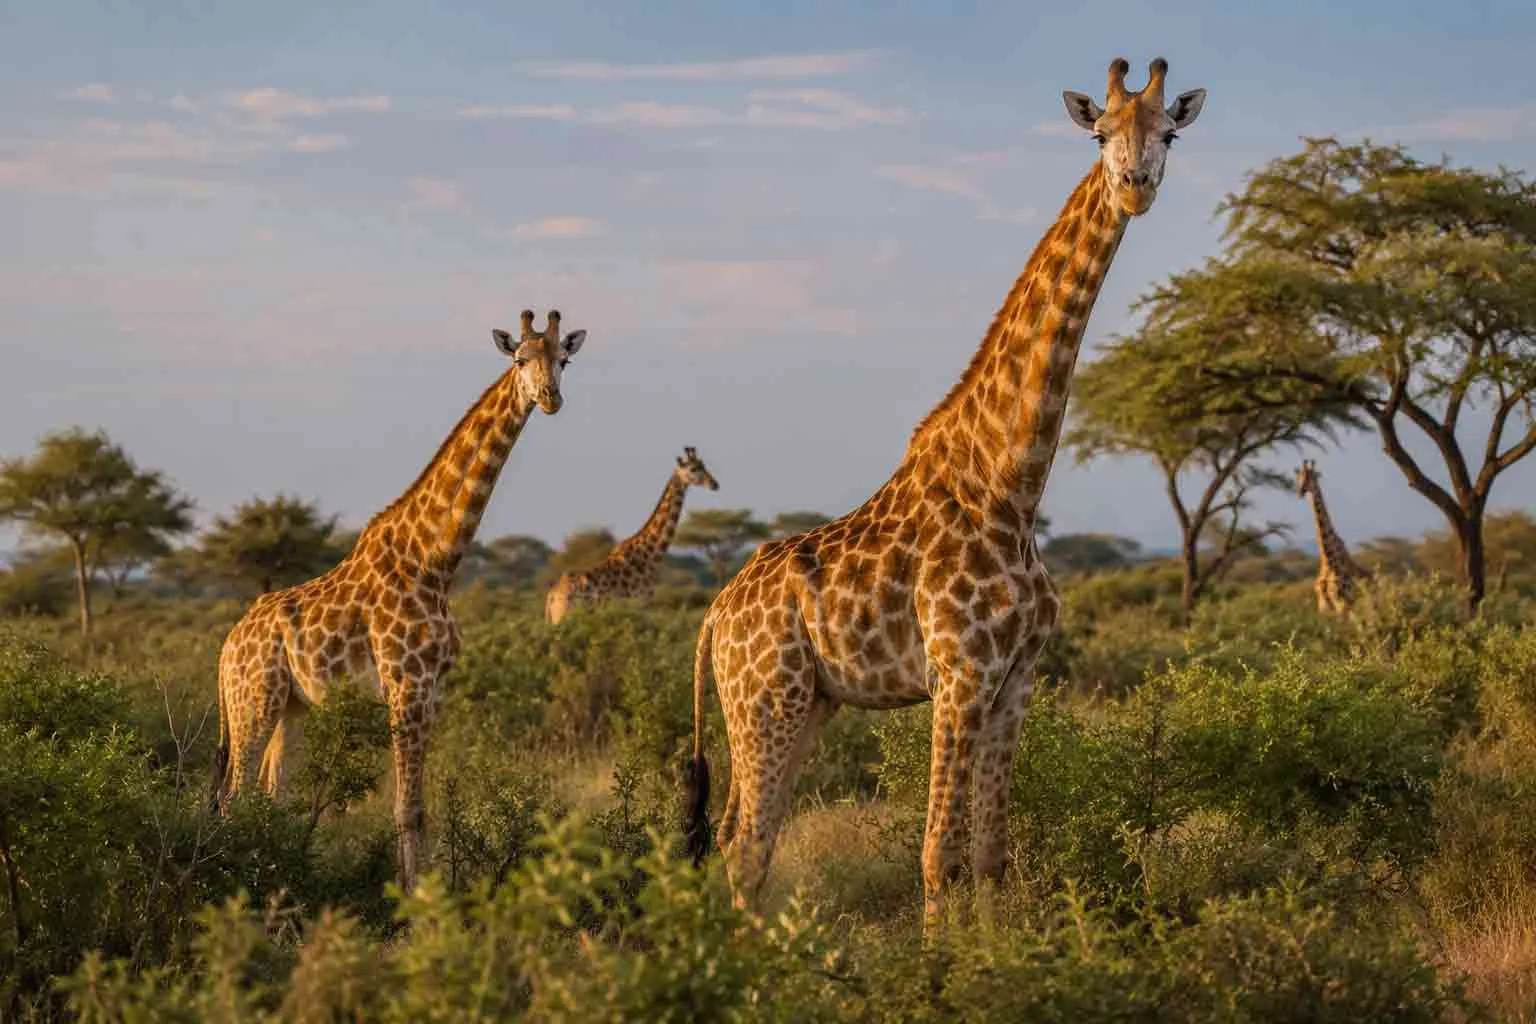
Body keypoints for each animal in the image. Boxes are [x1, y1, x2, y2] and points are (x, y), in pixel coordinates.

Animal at [212, 310, 587, 891]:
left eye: (564, 360)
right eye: (521, 358)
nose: (549, 397)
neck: (435, 560)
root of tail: (226, 648)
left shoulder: (433, 690)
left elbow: (420, 807)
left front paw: (429, 891)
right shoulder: (404, 685)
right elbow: (405, 807)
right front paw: (413, 899)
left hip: (292, 707)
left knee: (270, 792)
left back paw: (276, 879)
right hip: (253, 697)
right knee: (235, 796)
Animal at [544, 446, 719, 624]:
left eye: (703, 465)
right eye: (693, 469)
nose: (714, 484)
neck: (649, 555)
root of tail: (552, 597)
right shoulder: (639, 604)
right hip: (565, 616)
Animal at [684, 58, 1206, 933]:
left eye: (1168, 132)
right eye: (1100, 133)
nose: (1134, 186)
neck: (1012, 484)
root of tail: (716, 615)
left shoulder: (1016, 681)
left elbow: (991, 855)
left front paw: (995, 954)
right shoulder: (958, 677)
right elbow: (938, 858)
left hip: (805, 703)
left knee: (742, 837)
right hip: (764, 698)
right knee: (747, 843)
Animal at [1294, 459, 1372, 614]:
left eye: (1313, 477)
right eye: (1299, 477)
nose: (1301, 491)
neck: (1329, 560)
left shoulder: (1343, 605)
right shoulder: (1324, 608)